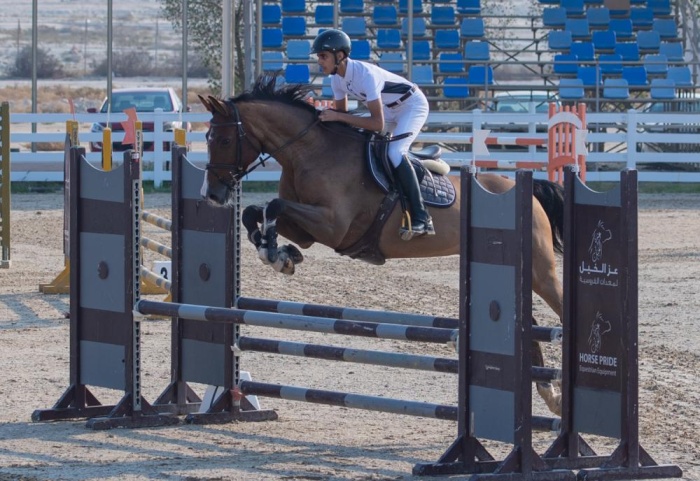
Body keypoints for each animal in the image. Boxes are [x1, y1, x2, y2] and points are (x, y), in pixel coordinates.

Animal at [196, 77, 564, 414]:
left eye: (225, 139)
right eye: (208, 138)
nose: (211, 194)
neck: (310, 152)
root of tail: (526, 191)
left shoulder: (333, 226)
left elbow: (273, 206)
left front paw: (275, 251)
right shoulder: (308, 230)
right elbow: (256, 212)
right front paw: (280, 253)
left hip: (541, 270)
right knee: (530, 321)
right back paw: (549, 394)